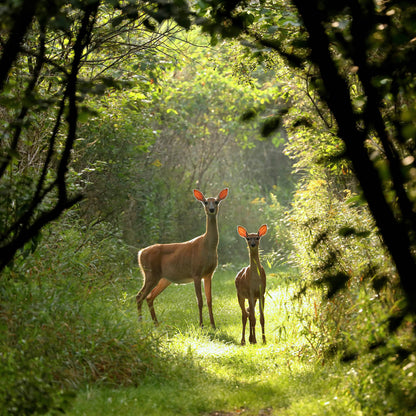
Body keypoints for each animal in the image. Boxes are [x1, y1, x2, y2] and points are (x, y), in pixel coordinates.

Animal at [136, 188, 228, 328]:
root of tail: (140, 253)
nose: (211, 209)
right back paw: (141, 325)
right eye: (206, 202)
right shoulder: (196, 272)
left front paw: (213, 325)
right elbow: (200, 301)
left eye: (216, 201)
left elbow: (209, 300)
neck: (207, 246)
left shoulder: (209, 274)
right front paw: (201, 325)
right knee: (139, 296)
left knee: (149, 297)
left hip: (163, 279)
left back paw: (156, 324)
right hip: (151, 274)